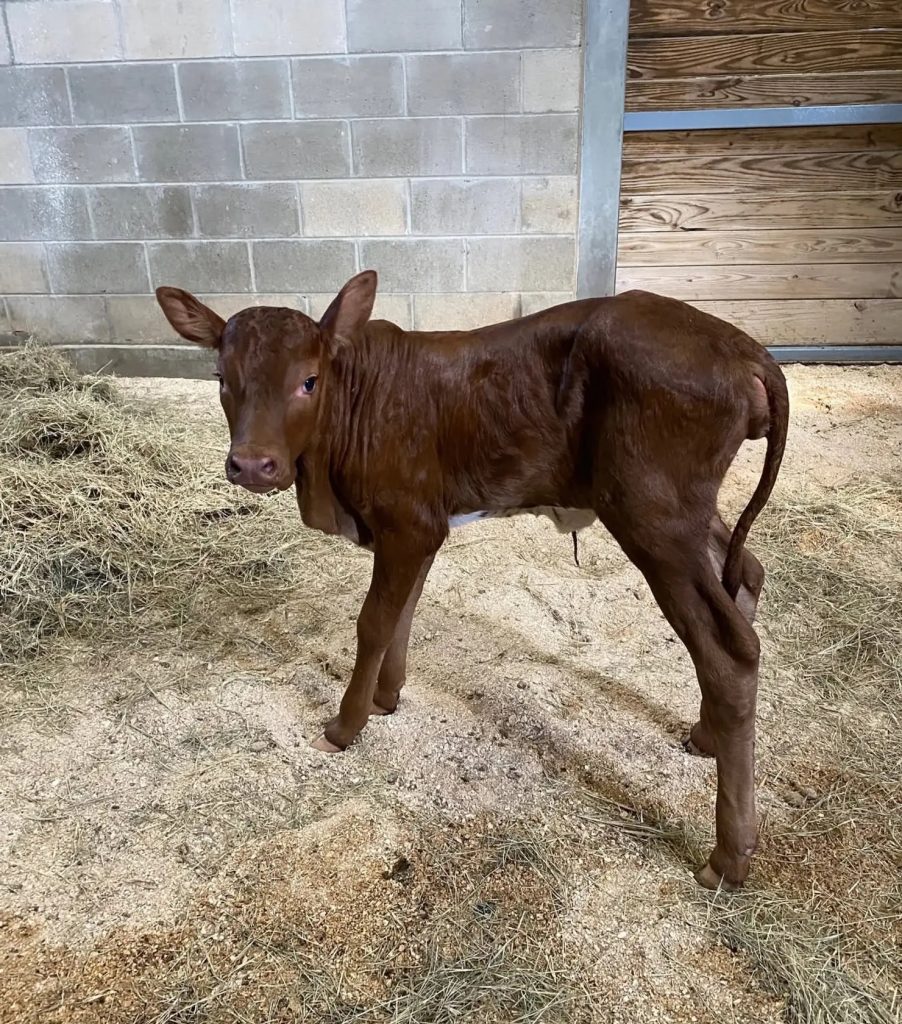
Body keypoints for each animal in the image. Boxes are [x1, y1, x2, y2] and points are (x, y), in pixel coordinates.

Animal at [156, 271, 789, 891]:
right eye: (221, 379)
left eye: (309, 381)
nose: (252, 465)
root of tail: (742, 346)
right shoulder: (420, 527)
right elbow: (404, 609)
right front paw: (386, 697)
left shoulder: (408, 520)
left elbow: (374, 621)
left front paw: (345, 725)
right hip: (685, 516)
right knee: (746, 575)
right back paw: (705, 735)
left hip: (653, 515)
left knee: (729, 649)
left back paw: (728, 857)